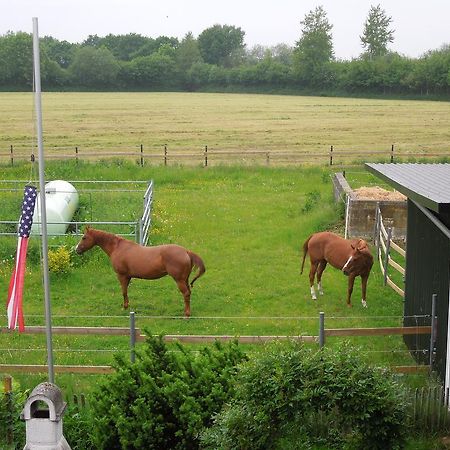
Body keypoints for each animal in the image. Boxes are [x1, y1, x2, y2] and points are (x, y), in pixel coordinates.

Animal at [75, 227, 206, 318]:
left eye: (84, 237)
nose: (77, 250)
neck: (117, 247)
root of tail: (186, 251)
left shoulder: (121, 276)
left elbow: (123, 292)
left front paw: (125, 307)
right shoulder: (128, 277)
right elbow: (126, 291)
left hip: (179, 280)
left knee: (186, 294)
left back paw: (187, 314)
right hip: (185, 279)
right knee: (188, 293)